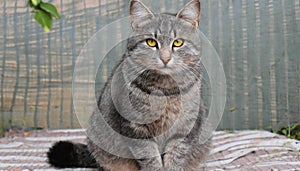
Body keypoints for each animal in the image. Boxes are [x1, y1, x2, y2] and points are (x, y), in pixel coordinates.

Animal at [47, 0, 211, 170]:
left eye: (178, 42)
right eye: (151, 42)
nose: (165, 58)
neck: (166, 89)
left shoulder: (185, 127)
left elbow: (175, 156)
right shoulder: (136, 127)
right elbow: (150, 157)